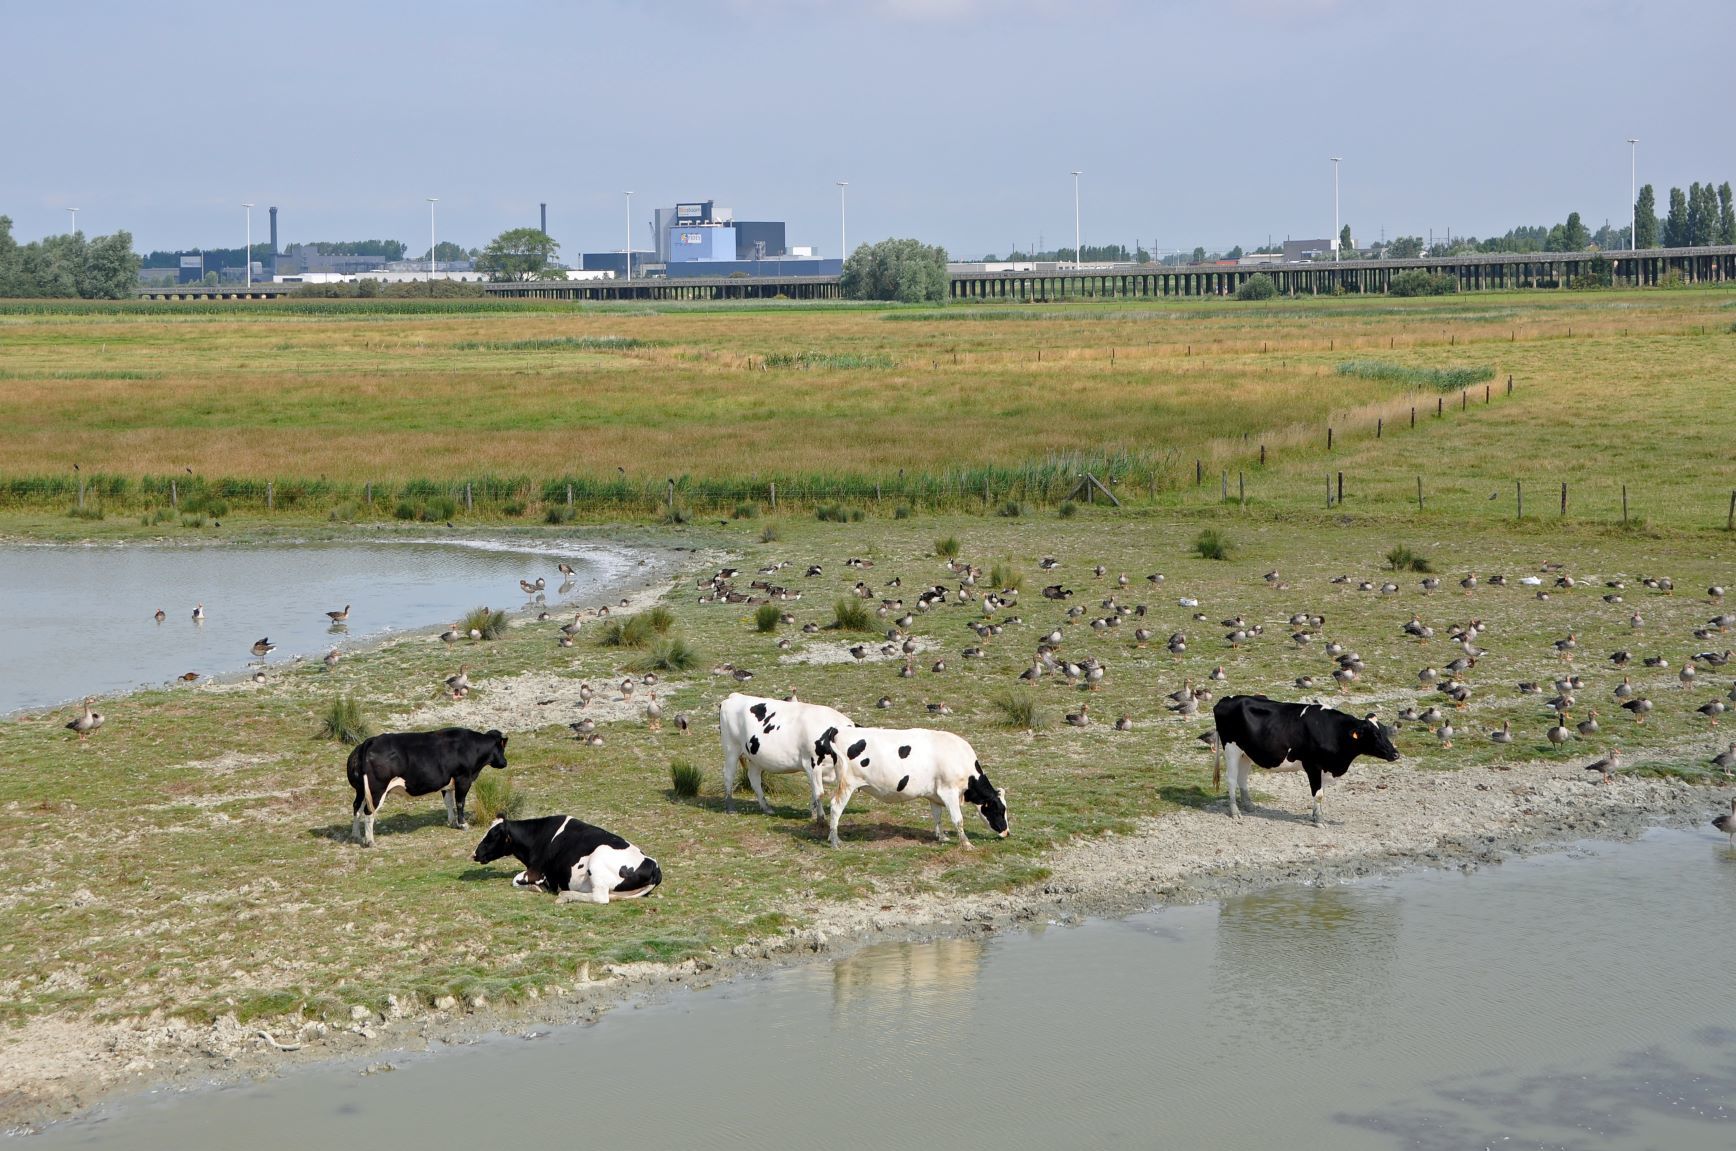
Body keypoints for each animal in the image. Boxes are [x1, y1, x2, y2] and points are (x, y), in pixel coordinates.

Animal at [345, 729, 506, 847]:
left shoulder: (447, 782)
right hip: (377, 790)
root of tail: (371, 741)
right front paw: (463, 824)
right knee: (368, 813)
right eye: (502, 747)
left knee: (357, 808)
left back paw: (355, 836)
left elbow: (449, 802)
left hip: (361, 790)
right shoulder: (463, 779)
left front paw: (452, 822)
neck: (471, 746)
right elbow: (460, 802)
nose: (505, 762)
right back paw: (369, 841)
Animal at [472, 815, 659, 902]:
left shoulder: (536, 871)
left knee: (600, 898)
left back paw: (566, 895)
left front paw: (537, 887)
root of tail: (654, 865)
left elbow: (515, 880)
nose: (474, 853)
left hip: (597, 860)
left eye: (492, 836)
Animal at [715, 694, 857, 819]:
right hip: (731, 748)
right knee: (728, 775)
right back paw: (730, 808)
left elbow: (814, 792)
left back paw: (766, 808)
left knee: (754, 778)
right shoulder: (811, 764)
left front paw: (813, 813)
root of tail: (734, 696)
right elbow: (819, 792)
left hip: (755, 757)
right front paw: (820, 817)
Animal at [822, 725, 1013, 850]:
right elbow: (958, 819)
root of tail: (839, 730)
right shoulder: (949, 792)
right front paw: (966, 844)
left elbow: (937, 817)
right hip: (847, 784)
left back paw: (831, 837)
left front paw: (942, 837)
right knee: (835, 807)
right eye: (998, 810)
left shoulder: (935, 795)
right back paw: (835, 842)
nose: (1007, 833)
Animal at [1215, 697, 1402, 822]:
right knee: (1231, 779)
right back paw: (1235, 812)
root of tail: (1226, 699)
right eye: (1375, 735)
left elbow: (1321, 792)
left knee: (1242, 778)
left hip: (1246, 753)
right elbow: (1318, 794)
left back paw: (1249, 806)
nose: (1395, 754)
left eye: (1384, 731)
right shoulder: (1313, 766)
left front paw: (1316, 814)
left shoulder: (1326, 766)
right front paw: (1319, 820)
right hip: (1231, 748)